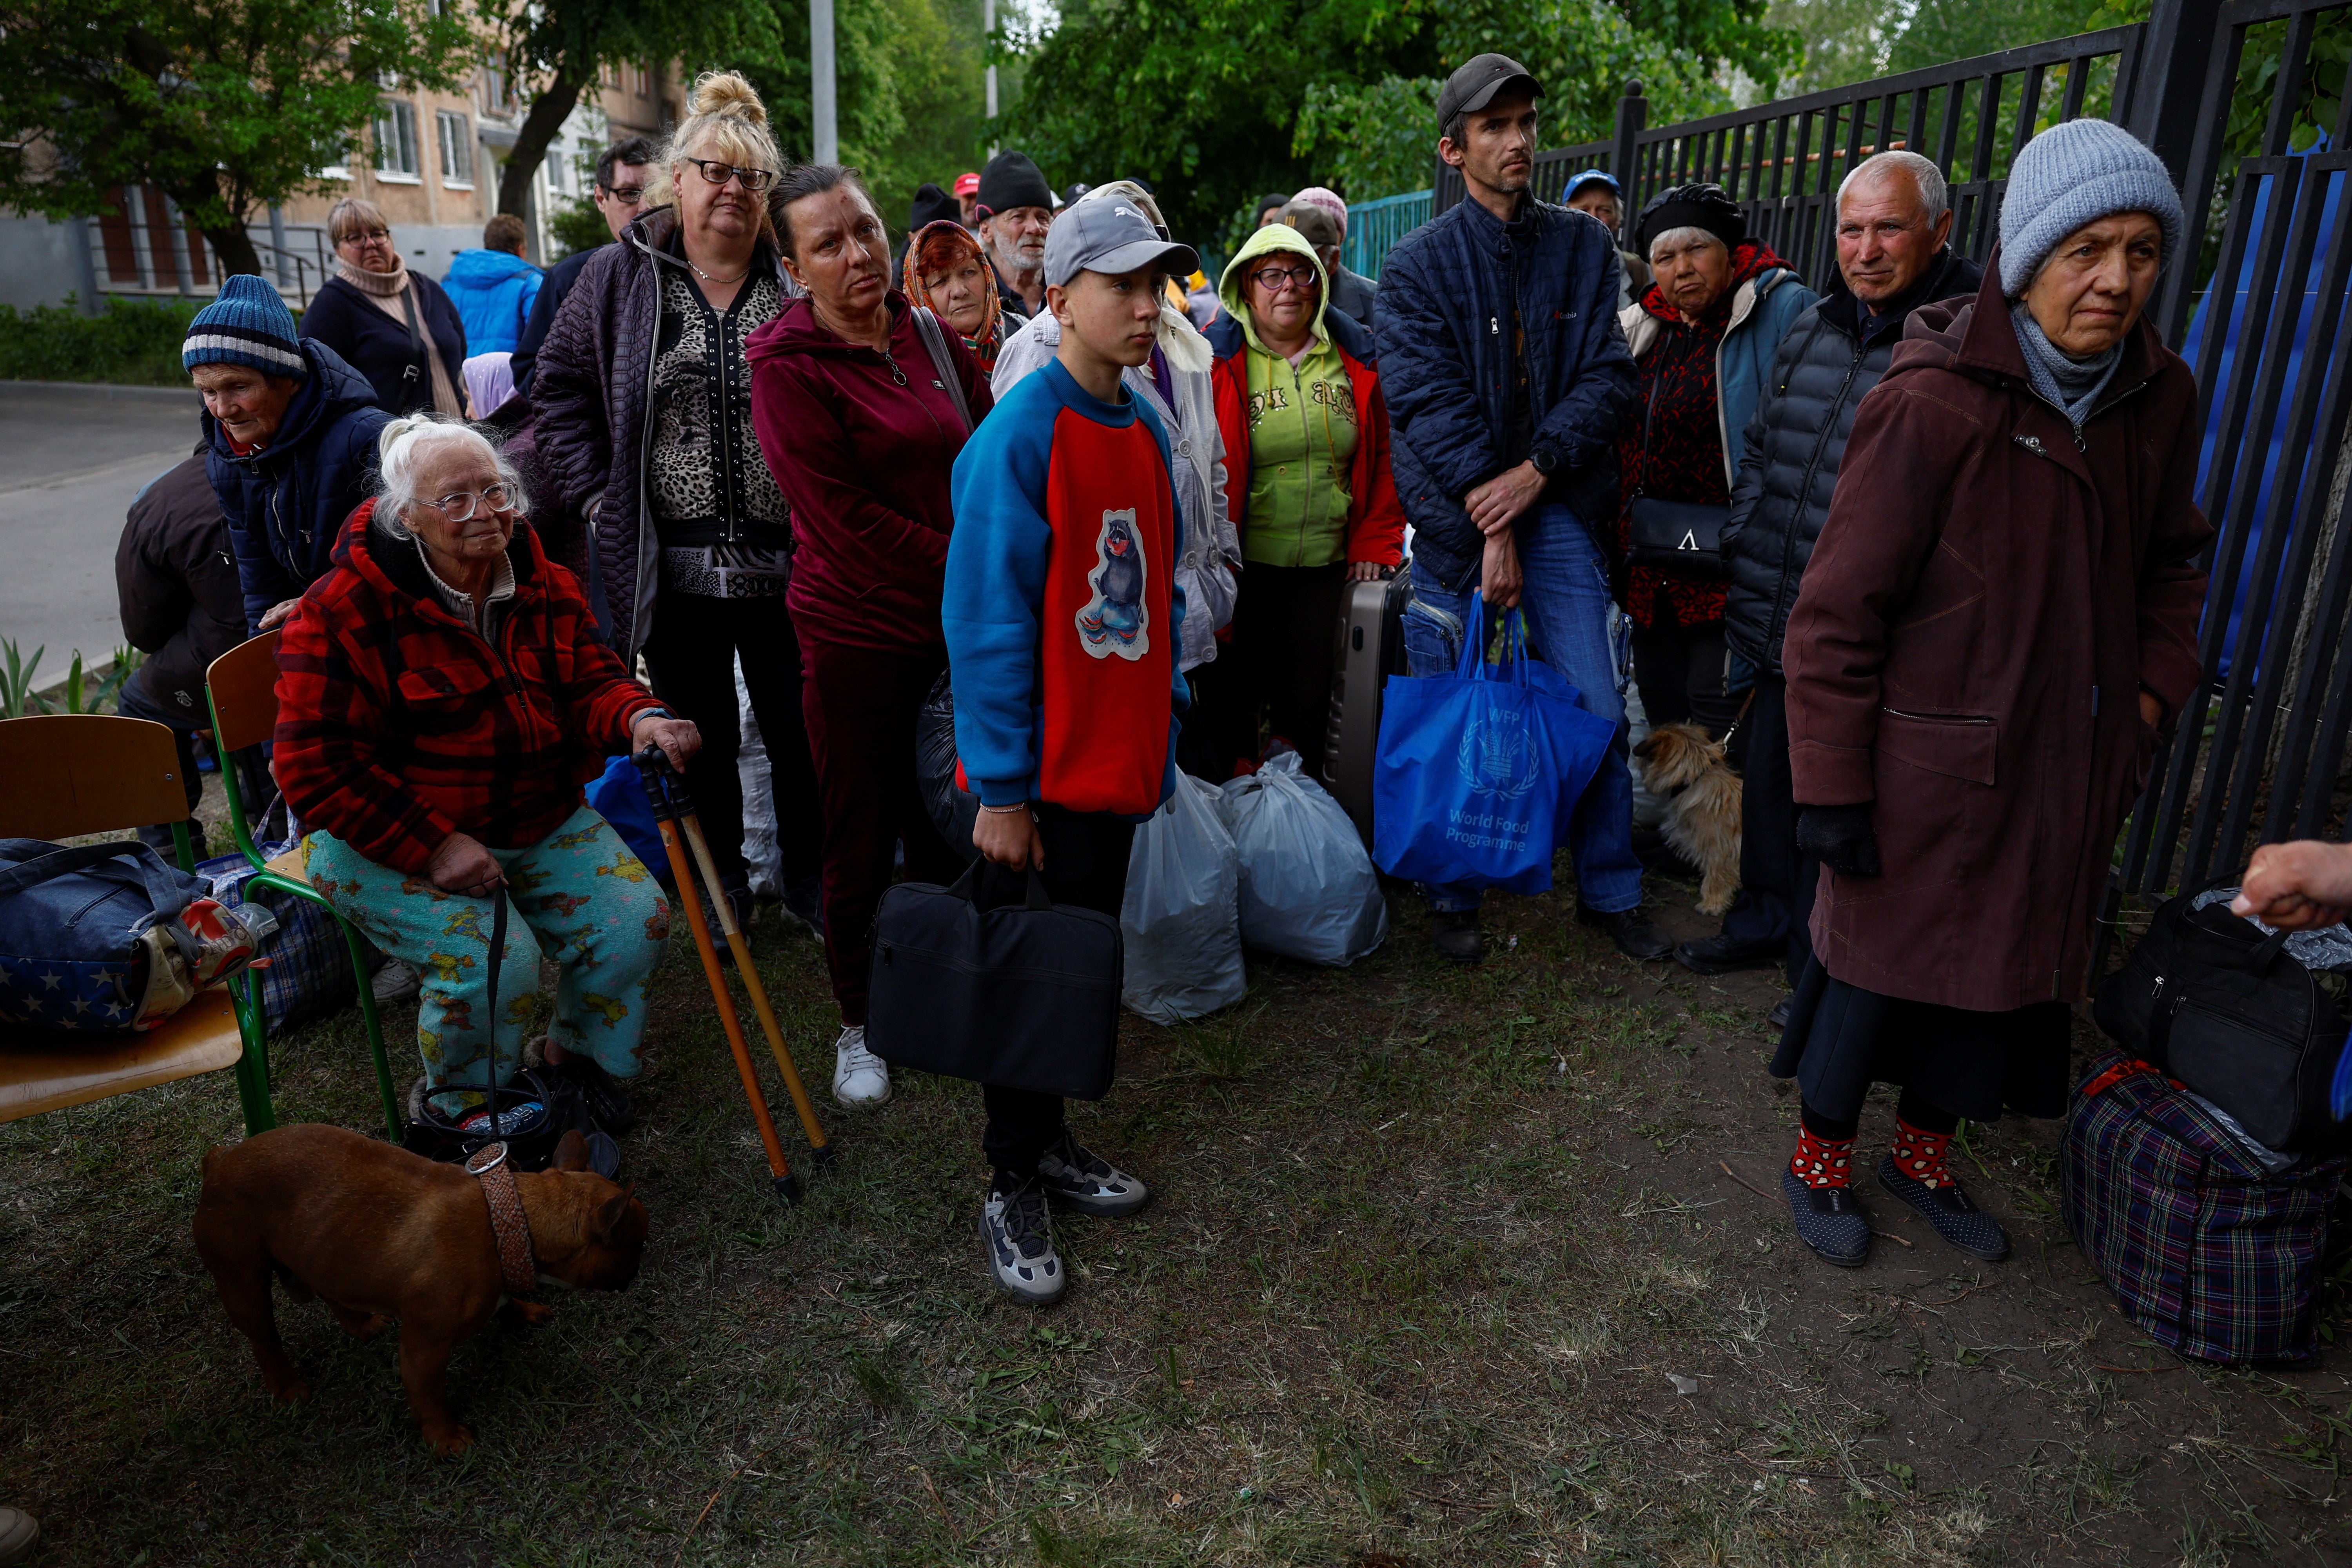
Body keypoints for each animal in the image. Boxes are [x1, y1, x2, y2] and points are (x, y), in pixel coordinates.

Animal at [192, 1123, 649, 1457]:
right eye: (636, 1243)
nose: (643, 1261)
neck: (510, 1223)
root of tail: (219, 1160)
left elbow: (507, 1303)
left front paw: (523, 1309)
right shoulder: (423, 1348)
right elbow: (428, 1395)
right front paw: (444, 1438)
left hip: (323, 1250)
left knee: (331, 1290)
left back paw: (361, 1324)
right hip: (242, 1279)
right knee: (264, 1338)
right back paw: (287, 1387)